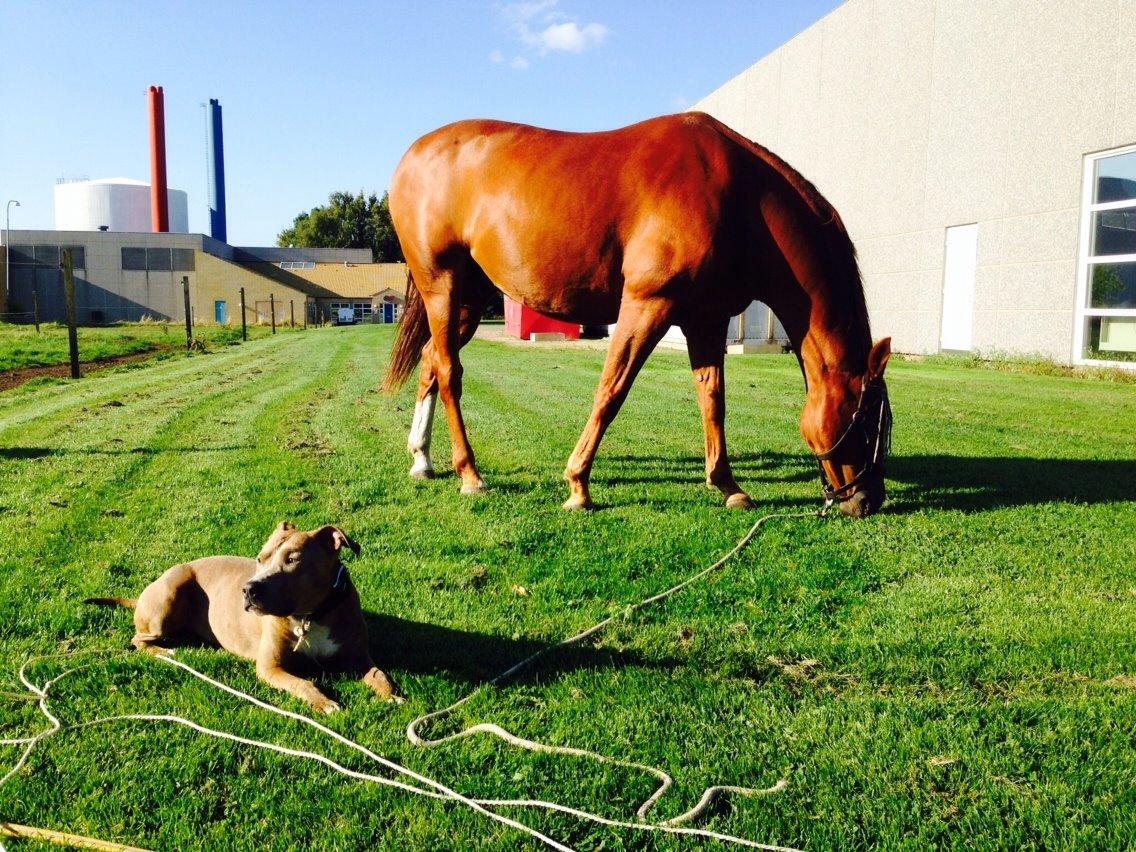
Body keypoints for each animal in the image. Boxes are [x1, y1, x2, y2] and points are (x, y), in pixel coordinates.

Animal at [85, 520, 395, 713]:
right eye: (260, 558)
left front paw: (393, 695)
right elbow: (303, 683)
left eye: (292, 560)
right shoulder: (271, 668)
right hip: (168, 596)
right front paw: (324, 702)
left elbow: (380, 674)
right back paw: (165, 651)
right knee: (138, 639)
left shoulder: (358, 657)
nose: (248, 589)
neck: (310, 616)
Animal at [386, 113, 890, 520]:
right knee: (449, 370)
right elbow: (612, 391)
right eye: (867, 421)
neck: (737, 196)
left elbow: (713, 400)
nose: (868, 500)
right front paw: (578, 486)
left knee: (431, 361)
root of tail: (414, 155)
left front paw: (728, 486)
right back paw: (469, 474)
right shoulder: (647, 304)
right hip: (442, 286)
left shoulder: (705, 319)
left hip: (467, 298)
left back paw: (422, 459)